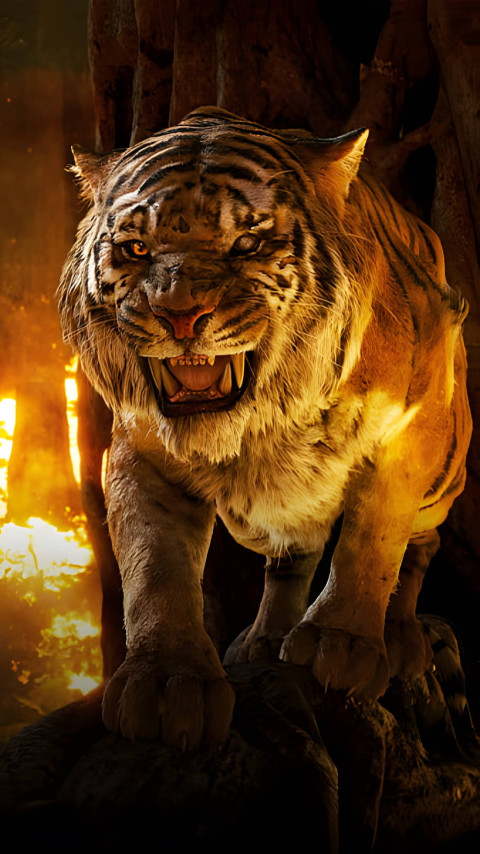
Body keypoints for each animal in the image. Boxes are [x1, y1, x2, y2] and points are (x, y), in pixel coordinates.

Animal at [58, 106, 472, 749]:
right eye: (136, 248)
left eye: (247, 244)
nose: (179, 315)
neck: (264, 421)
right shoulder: (140, 452)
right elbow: (155, 568)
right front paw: (168, 682)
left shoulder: (409, 428)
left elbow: (373, 539)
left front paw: (343, 645)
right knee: (291, 553)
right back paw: (266, 640)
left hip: (443, 475)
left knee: (418, 544)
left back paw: (399, 638)